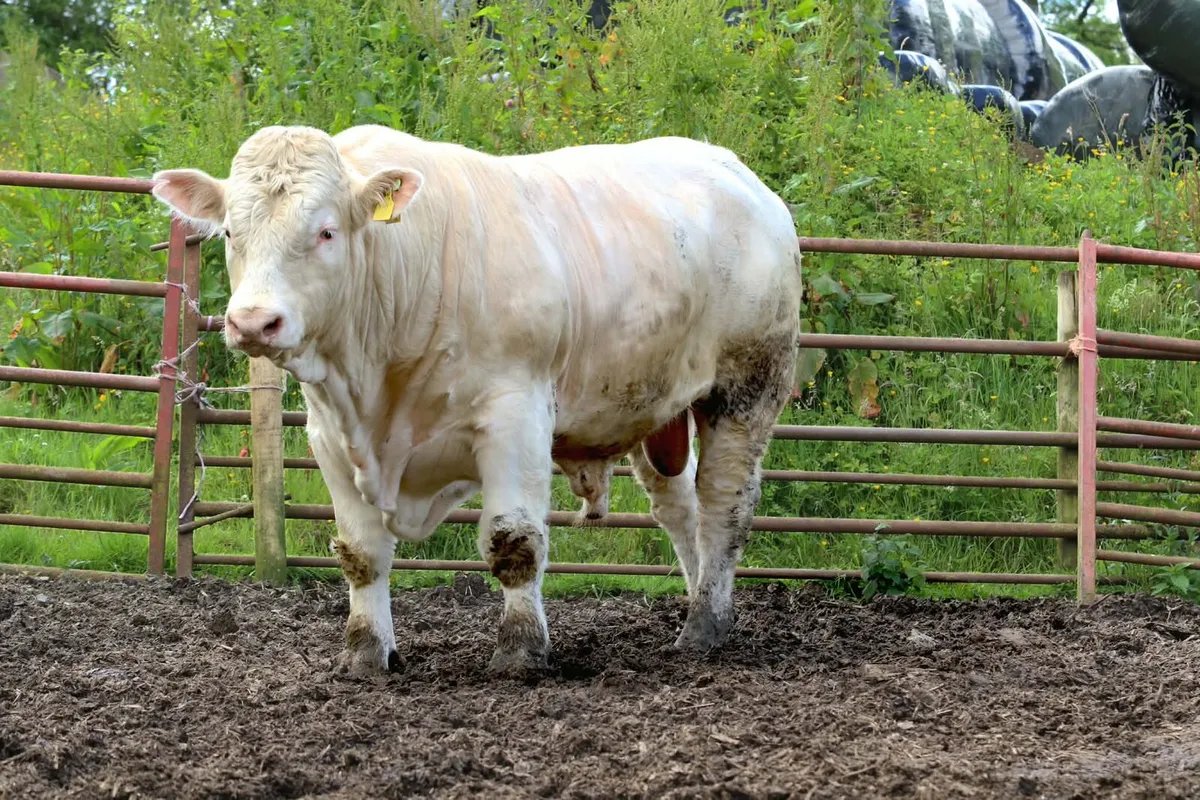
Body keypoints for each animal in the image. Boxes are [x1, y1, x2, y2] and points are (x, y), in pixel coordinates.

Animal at [150, 123, 803, 676]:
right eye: (231, 232)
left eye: (326, 231)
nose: (254, 322)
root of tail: (734, 171)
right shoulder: (329, 435)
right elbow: (361, 554)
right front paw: (365, 653)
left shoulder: (516, 416)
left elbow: (513, 542)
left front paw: (520, 651)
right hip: (656, 408)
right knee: (679, 506)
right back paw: (697, 603)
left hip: (747, 387)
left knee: (723, 504)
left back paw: (705, 625)